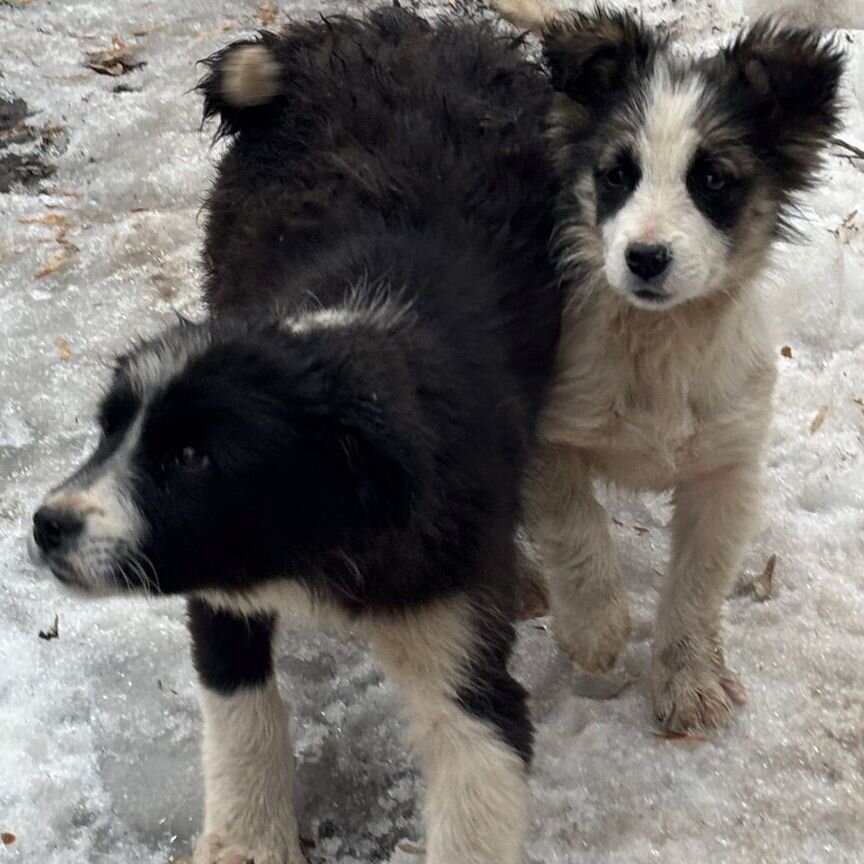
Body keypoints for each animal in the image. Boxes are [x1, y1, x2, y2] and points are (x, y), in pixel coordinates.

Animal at [28, 8, 560, 864]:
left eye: (190, 458)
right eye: (110, 431)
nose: (46, 527)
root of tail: (383, 27)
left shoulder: (464, 645)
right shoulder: (220, 584)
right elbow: (242, 710)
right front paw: (247, 841)